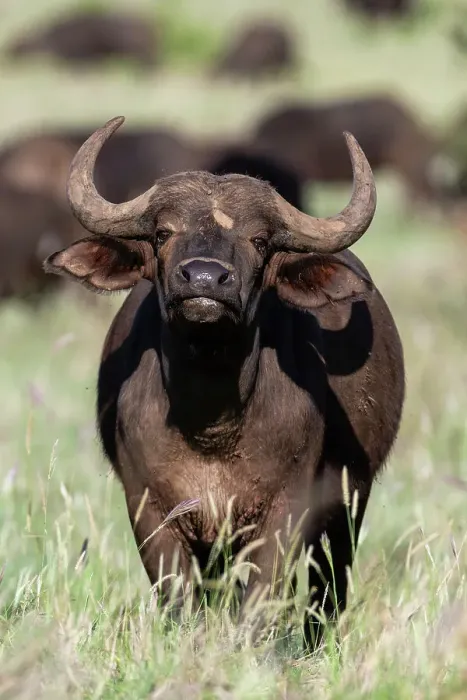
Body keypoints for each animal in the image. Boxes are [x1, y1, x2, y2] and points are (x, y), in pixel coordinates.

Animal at [44, 117, 405, 646]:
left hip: (349, 504)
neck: (211, 422)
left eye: (260, 240)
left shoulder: (285, 512)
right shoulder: (151, 509)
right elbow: (179, 598)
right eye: (163, 233)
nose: (204, 279)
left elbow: (261, 599)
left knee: (327, 586)